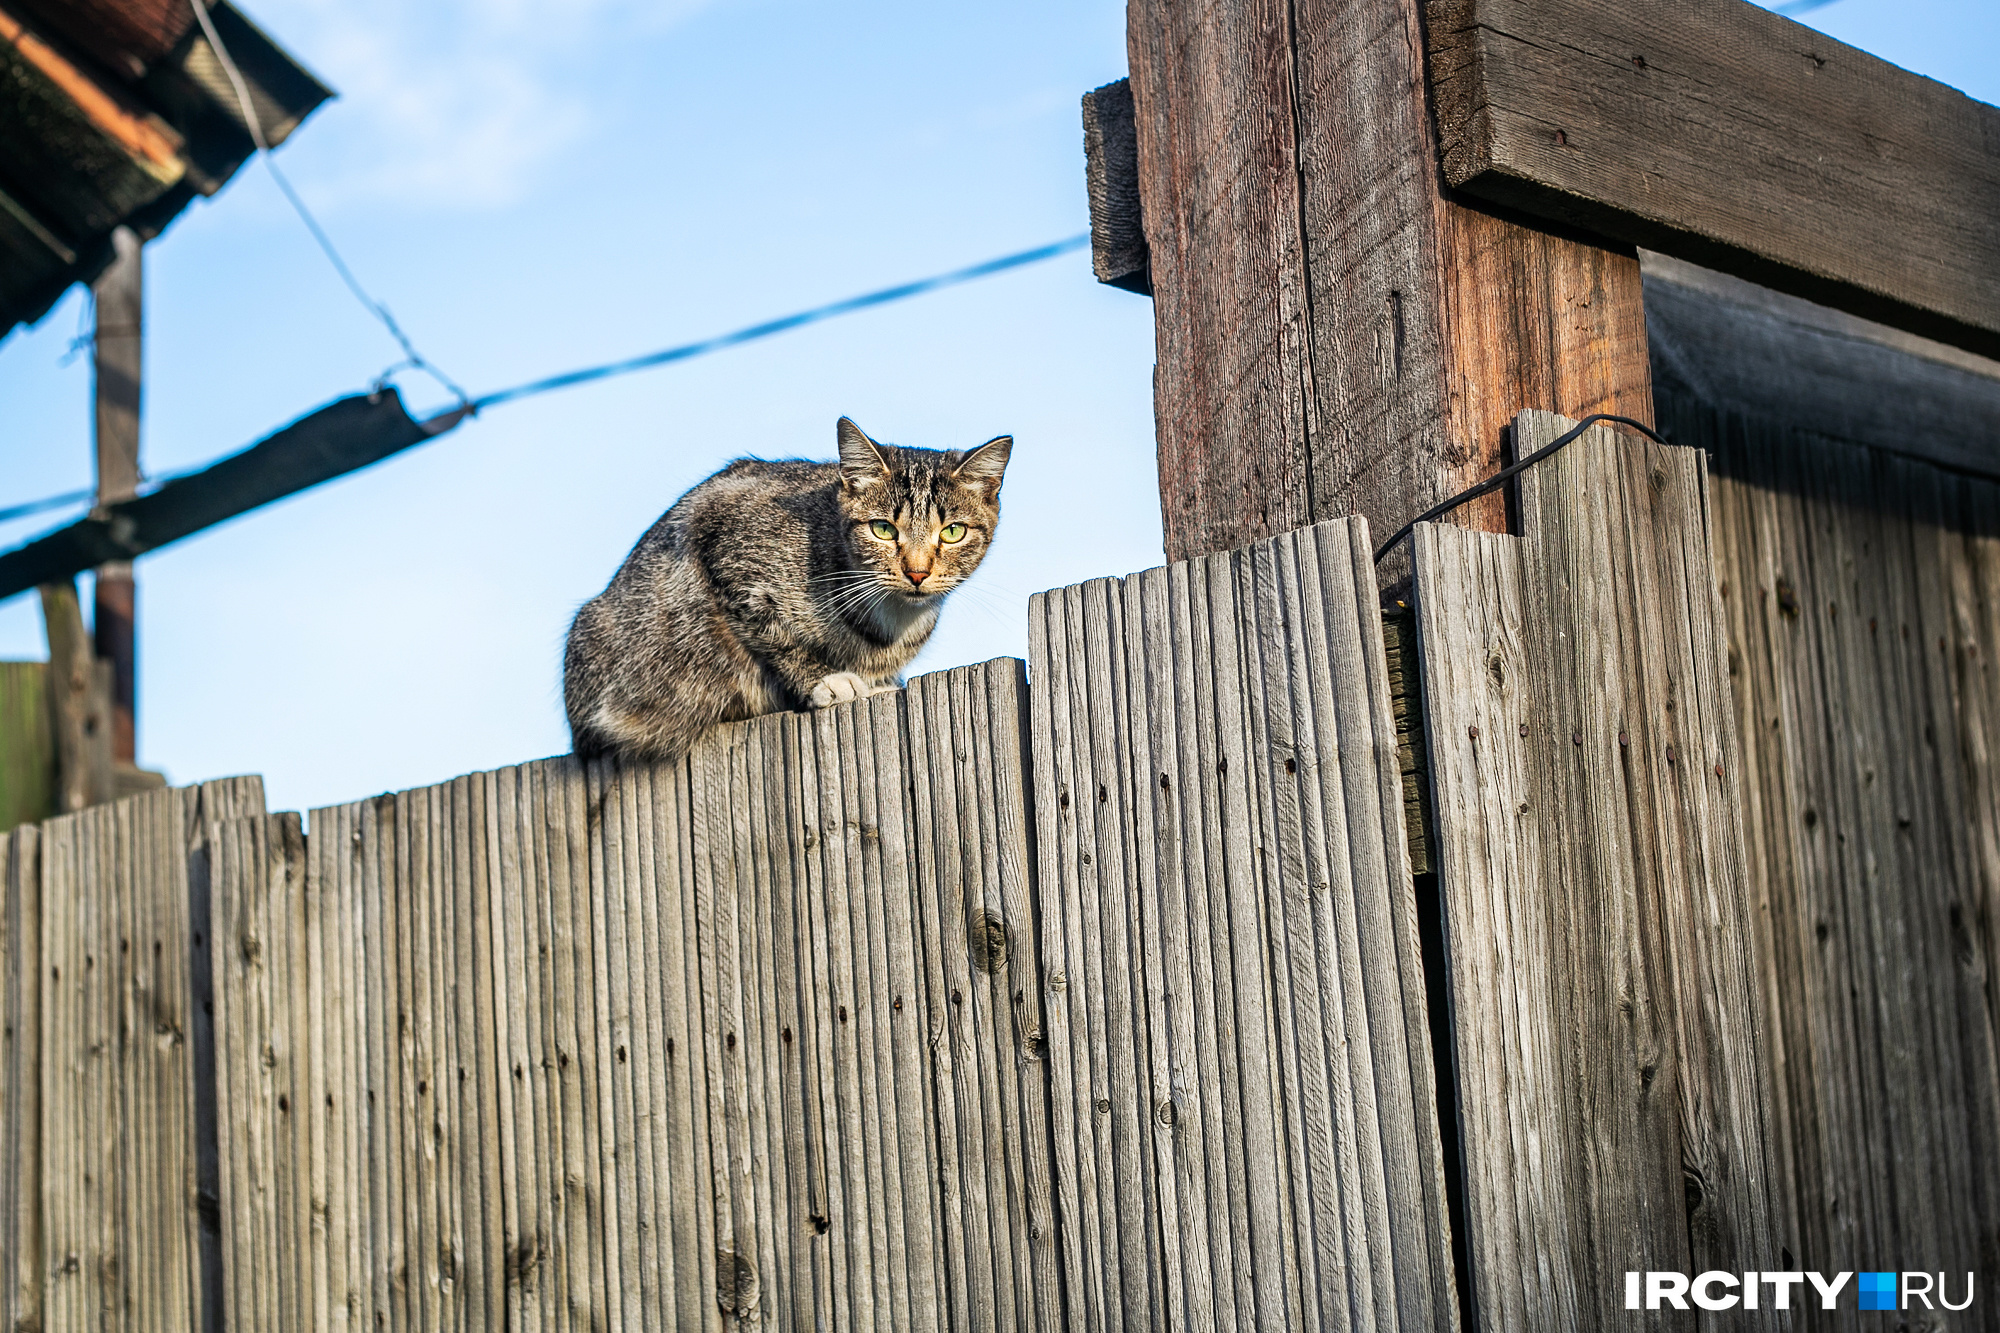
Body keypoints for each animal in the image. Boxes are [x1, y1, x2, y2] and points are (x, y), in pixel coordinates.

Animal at [564, 416, 1008, 756]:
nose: (916, 572)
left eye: (952, 532)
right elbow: (774, 634)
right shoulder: (723, 543)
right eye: (882, 528)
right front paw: (826, 680)